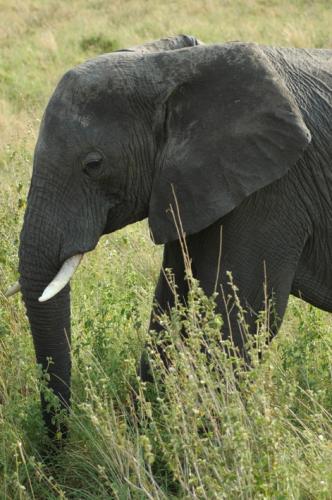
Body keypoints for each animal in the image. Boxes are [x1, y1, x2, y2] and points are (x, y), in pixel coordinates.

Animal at [5, 35, 332, 436]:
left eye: (93, 165)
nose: (60, 442)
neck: (174, 68)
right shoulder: (188, 183)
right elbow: (170, 304)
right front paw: (148, 431)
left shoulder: (272, 190)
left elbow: (239, 322)